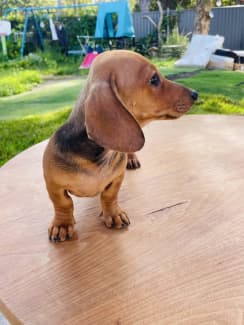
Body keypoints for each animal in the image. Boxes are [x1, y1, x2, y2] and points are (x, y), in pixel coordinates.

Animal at [43, 49, 197, 239]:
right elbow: (63, 204)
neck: (98, 156)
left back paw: (131, 159)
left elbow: (109, 196)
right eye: (154, 79)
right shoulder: (53, 184)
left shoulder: (117, 178)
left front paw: (114, 213)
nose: (195, 94)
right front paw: (62, 225)